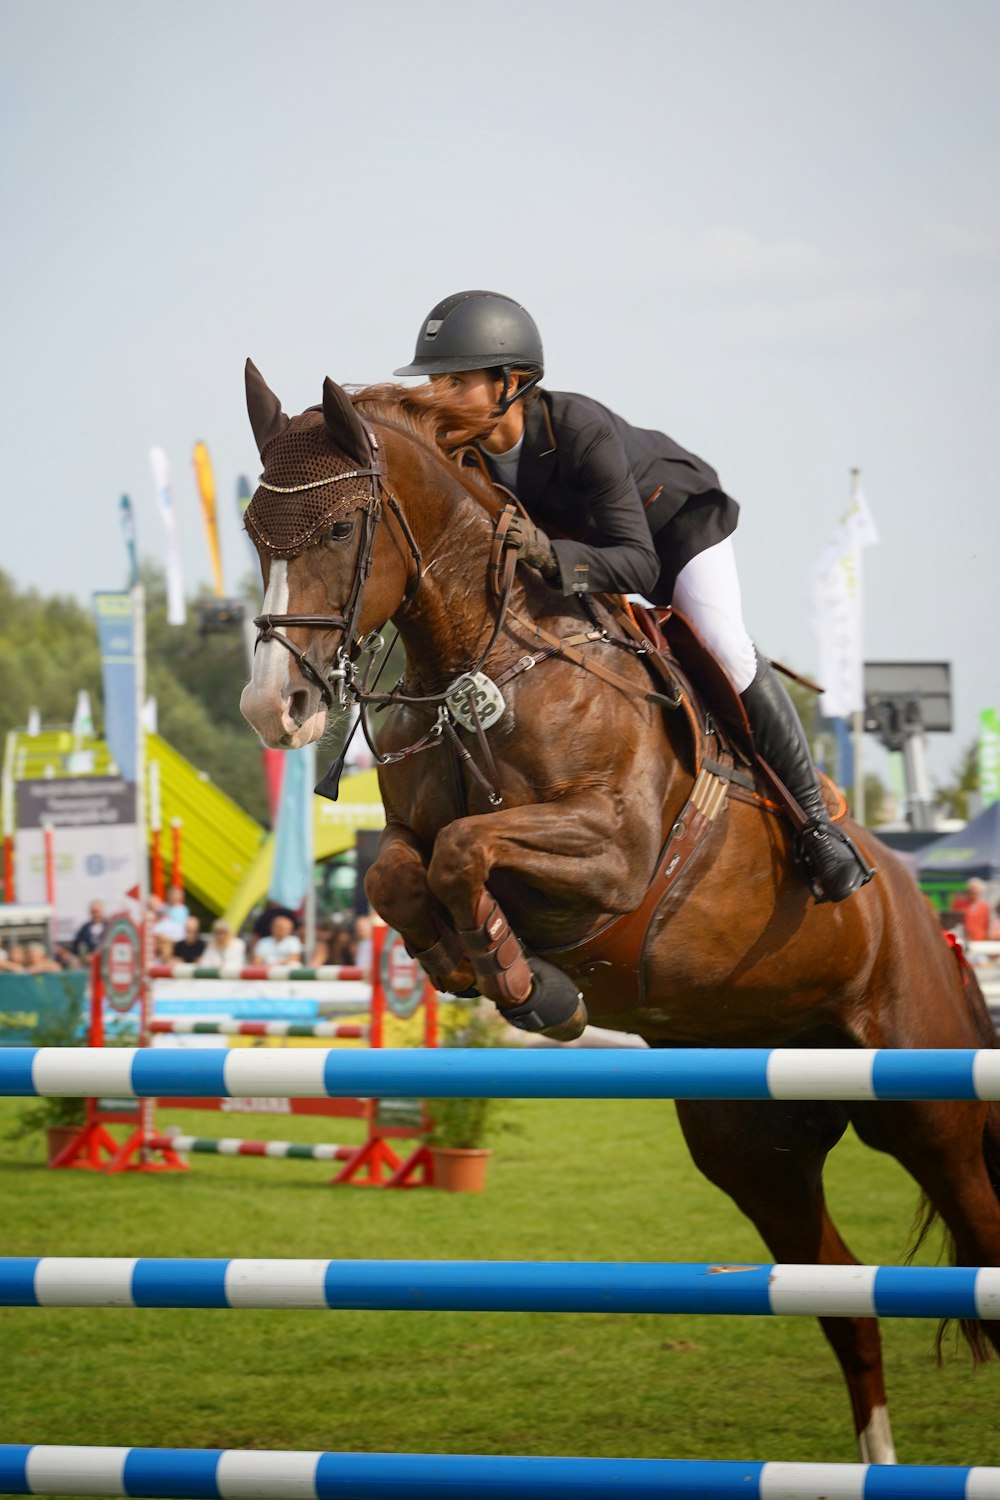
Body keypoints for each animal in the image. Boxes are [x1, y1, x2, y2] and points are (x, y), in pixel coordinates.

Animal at [239, 363, 1000, 1464]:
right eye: (254, 532)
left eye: (342, 528)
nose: (273, 711)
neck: (478, 663)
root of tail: (930, 927)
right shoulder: (415, 842)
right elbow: (401, 879)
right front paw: (488, 971)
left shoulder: (613, 853)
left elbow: (468, 852)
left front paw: (532, 987)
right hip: (755, 1148)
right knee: (845, 1305)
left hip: (928, 1107)